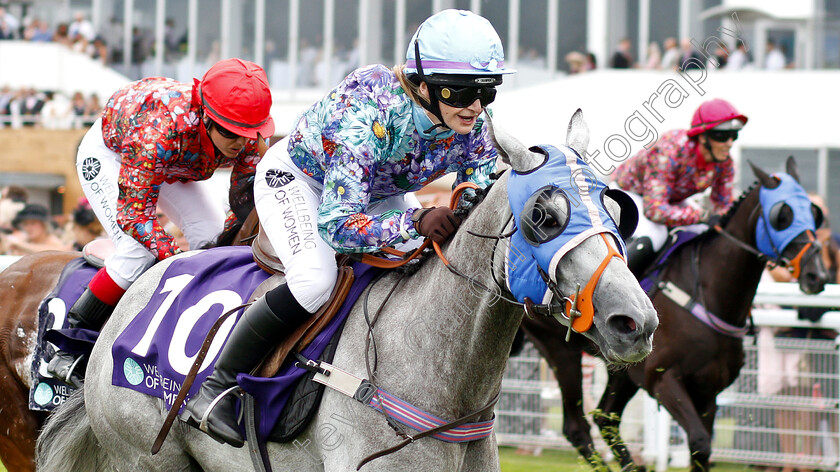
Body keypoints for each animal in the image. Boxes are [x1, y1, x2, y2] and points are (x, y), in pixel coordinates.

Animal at [520, 159, 832, 472]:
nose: (816, 274)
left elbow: (702, 451)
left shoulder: (708, 391)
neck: (709, 294)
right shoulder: (663, 379)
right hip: (561, 351)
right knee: (577, 427)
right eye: (783, 215)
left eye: (814, 214)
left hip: (623, 366)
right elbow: (699, 442)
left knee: (605, 417)